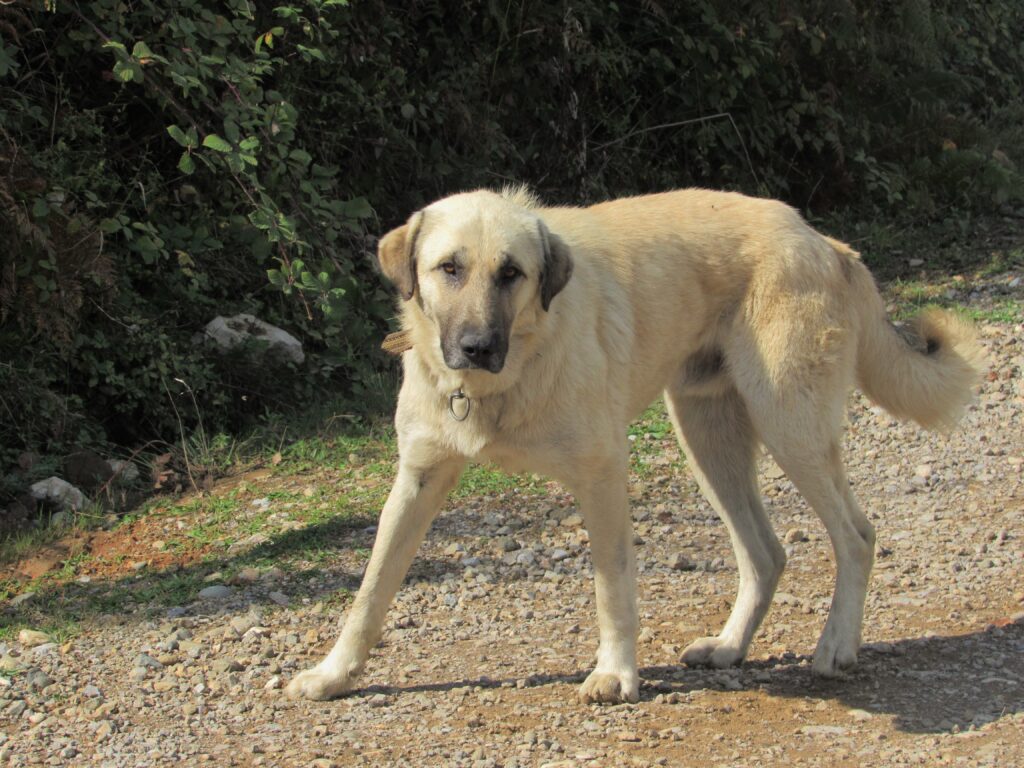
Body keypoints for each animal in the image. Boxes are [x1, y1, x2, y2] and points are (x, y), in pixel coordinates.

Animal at [284, 191, 978, 704]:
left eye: (512, 274)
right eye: (448, 268)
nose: (477, 347)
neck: (503, 382)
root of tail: (824, 241)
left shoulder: (602, 474)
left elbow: (612, 587)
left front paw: (616, 674)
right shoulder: (417, 481)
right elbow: (370, 591)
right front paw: (334, 675)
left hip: (789, 425)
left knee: (856, 536)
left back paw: (836, 646)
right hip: (709, 440)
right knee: (766, 552)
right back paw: (729, 647)